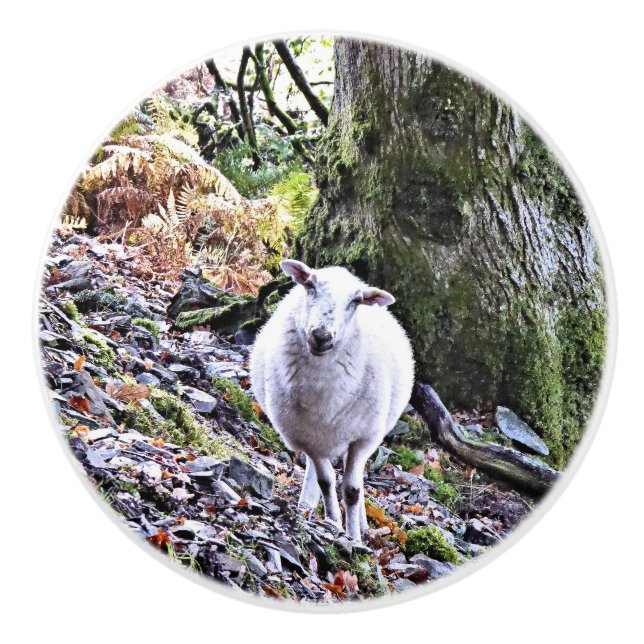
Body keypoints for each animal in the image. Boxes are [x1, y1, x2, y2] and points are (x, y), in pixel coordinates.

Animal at [250, 259, 414, 543]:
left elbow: (352, 490)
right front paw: (334, 523)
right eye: (310, 286)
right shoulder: (309, 439)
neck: (325, 399)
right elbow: (326, 482)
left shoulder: (364, 438)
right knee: (314, 473)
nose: (322, 336)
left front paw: (355, 538)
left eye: (356, 301)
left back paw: (361, 524)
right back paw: (307, 507)